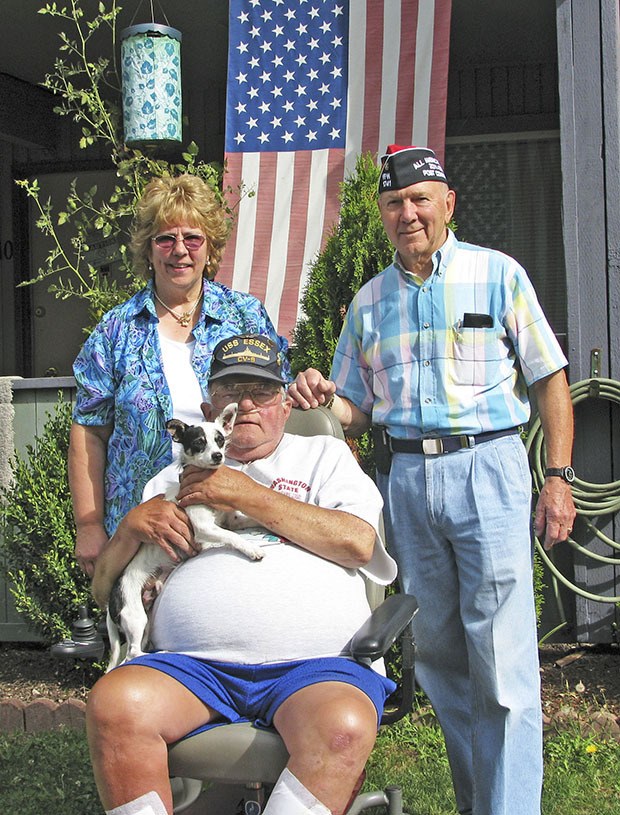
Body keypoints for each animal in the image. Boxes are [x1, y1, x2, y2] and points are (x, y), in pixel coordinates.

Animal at [105, 404, 262, 672]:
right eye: (199, 443)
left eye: (220, 440)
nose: (218, 456)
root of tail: (110, 599)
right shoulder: (203, 527)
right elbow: (231, 537)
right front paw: (251, 549)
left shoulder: (231, 520)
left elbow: (249, 520)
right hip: (135, 616)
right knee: (132, 654)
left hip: (146, 617)